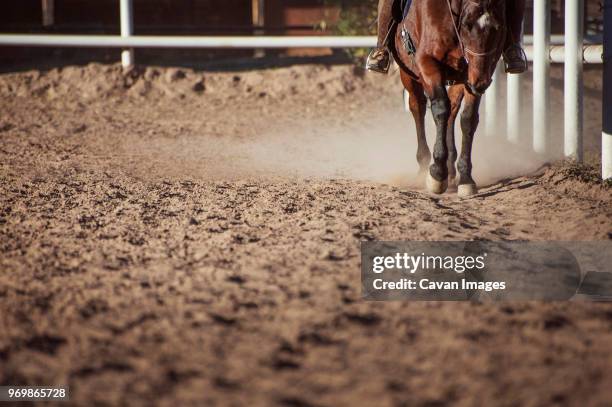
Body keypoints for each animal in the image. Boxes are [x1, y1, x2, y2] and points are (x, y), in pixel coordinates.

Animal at [392, 0, 506, 198]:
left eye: (497, 28)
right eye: (467, 25)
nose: (481, 83)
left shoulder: (473, 72)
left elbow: (468, 119)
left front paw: (465, 177)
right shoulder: (427, 63)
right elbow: (440, 109)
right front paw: (437, 173)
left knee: (452, 109)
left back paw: (451, 169)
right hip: (409, 73)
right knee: (418, 107)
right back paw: (425, 165)